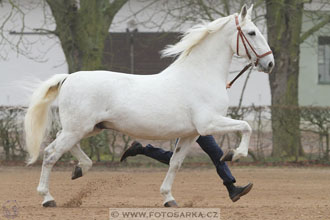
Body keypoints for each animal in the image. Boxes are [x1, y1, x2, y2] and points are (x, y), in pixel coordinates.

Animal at [24, 5, 274, 208]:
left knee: (62, 145)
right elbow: (246, 126)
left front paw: (169, 198)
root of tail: (68, 78)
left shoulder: (191, 134)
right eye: (252, 32)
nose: (269, 63)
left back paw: (80, 168)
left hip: (88, 127)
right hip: (78, 128)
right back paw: (47, 198)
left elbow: (175, 162)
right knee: (50, 154)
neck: (200, 75)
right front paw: (234, 154)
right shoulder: (208, 124)